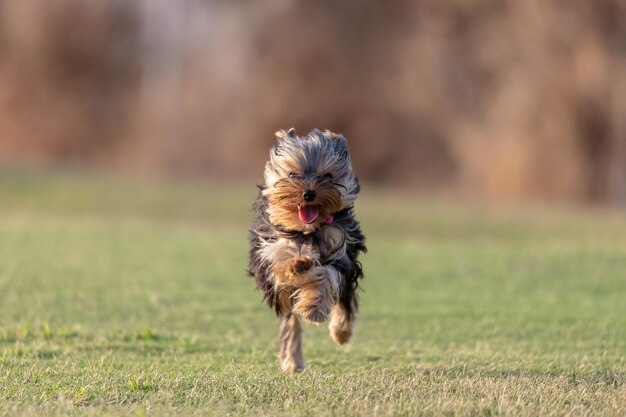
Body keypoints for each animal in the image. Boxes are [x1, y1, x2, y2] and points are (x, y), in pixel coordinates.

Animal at [247, 127, 366, 370]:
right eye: (293, 174)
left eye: (327, 176)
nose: (308, 194)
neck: (308, 230)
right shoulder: (269, 244)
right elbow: (281, 254)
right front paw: (299, 264)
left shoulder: (341, 250)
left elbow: (327, 275)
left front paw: (314, 309)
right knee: (291, 318)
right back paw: (293, 361)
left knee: (344, 301)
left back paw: (341, 332)